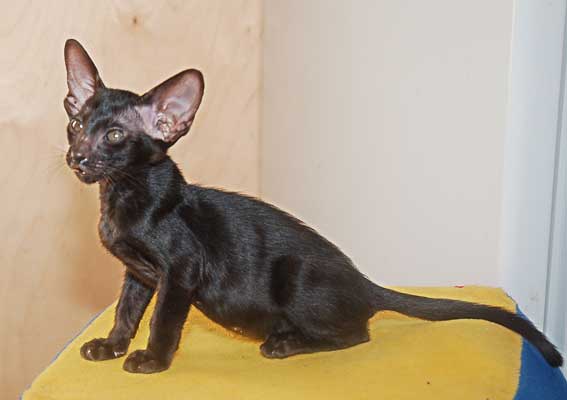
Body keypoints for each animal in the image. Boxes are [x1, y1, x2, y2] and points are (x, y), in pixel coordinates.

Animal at [63, 39, 564, 374]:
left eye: (114, 135)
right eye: (76, 124)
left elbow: (163, 321)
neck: (123, 196)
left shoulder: (181, 272)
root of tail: (365, 283)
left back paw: (283, 343)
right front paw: (110, 346)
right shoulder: (138, 274)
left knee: (358, 332)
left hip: (297, 275)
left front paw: (151, 360)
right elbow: (127, 311)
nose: (77, 157)